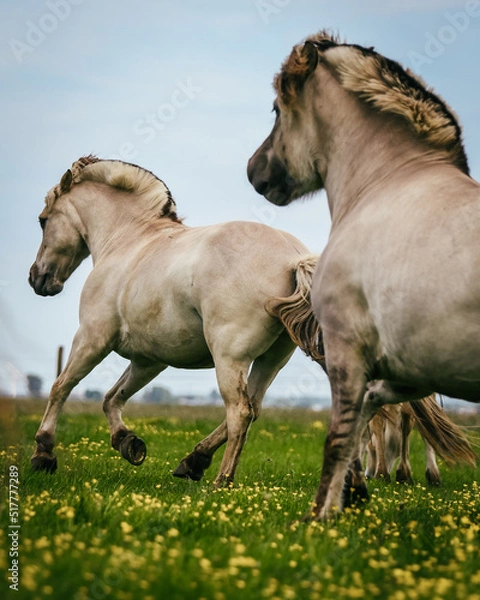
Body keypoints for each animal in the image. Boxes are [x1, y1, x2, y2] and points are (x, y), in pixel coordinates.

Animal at [29, 155, 322, 482]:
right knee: (254, 409)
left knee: (240, 412)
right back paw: (193, 461)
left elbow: (61, 387)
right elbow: (112, 398)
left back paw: (221, 481)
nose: (37, 278)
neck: (129, 240)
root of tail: (293, 258)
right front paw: (128, 442)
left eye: (43, 220)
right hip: (271, 360)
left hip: (231, 358)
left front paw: (43, 454)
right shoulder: (149, 360)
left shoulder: (92, 338)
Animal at [248, 30, 480, 520]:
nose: (253, 170)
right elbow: (375, 421)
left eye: (277, 108)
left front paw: (325, 512)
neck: (390, 180)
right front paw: (361, 486)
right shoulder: (406, 365)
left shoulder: (348, 351)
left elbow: (342, 437)